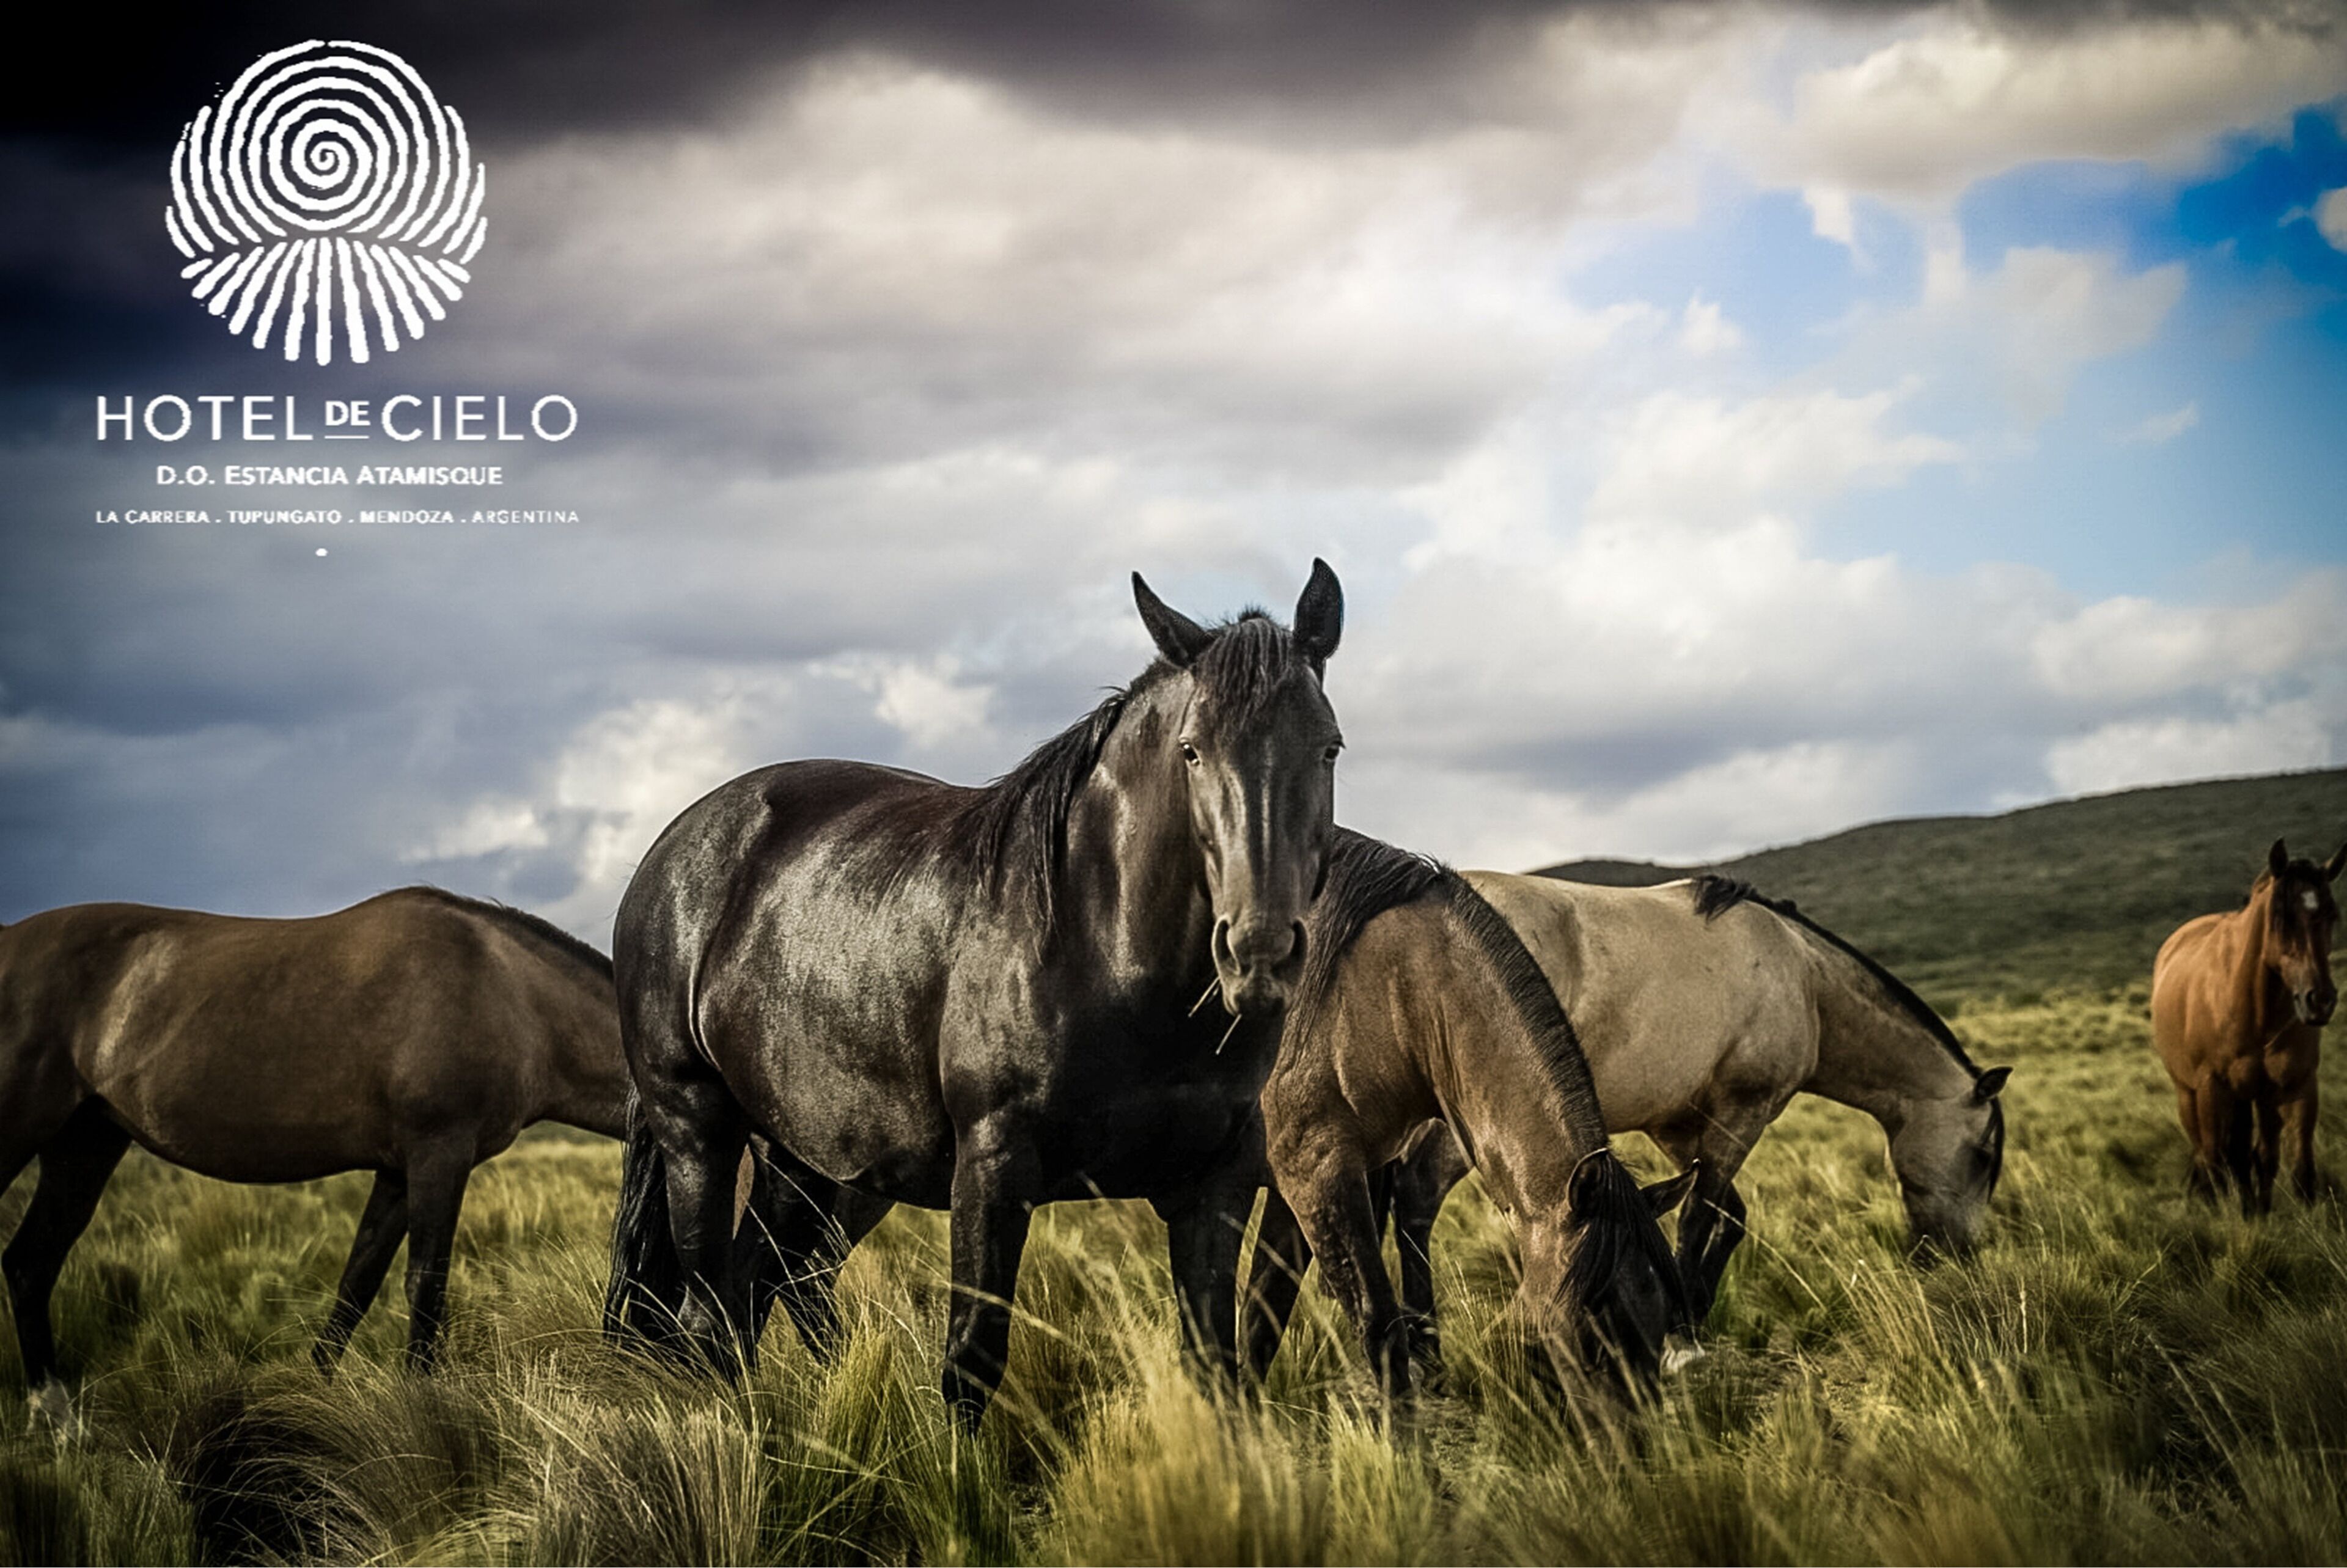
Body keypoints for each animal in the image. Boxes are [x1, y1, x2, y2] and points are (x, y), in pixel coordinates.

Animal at [0, 887, 629, 1427]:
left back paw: (62, 1427)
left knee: (31, 1264)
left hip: (85, 1145)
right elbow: (425, 1286)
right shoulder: (440, 1154)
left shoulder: (397, 1171)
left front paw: (310, 1402)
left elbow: (357, 1286)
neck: (511, 997)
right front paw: (424, 1410)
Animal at [603, 563, 1346, 1428]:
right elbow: (970, 1362)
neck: (1107, 950)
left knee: (754, 1293)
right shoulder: (993, 1171)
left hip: (801, 1158)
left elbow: (1216, 1367)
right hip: (698, 1130)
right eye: (1192, 751)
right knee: (704, 1313)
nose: (1259, 951)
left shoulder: (1212, 1185)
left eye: (1328, 748)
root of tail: (674, 847)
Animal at [1240, 832, 1699, 1403]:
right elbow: (1376, 1324)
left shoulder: (1302, 1185)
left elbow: (1263, 1311)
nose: (1637, 1433)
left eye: (1659, 1324)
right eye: (1592, 1333)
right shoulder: (1316, 1176)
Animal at [1245, 870, 2009, 1382]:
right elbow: (1704, 1217)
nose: (1952, 1255)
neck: (1802, 976)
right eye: (1982, 1156)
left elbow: (1725, 1215)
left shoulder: (1682, 1130)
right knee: (1417, 1195)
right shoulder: (1741, 1114)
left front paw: (1688, 1307)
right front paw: (1686, 1337)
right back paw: (1429, 1348)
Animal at [2152, 838, 2343, 1214]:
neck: (2254, 1011)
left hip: (2256, 1097)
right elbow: (2217, 1164)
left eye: (2332, 915)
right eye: (2281, 917)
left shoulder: (2297, 1086)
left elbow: (2297, 1170)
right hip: (2190, 1094)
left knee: (2253, 1156)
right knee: (2208, 1156)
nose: (2320, 1001)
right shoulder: (2212, 1088)